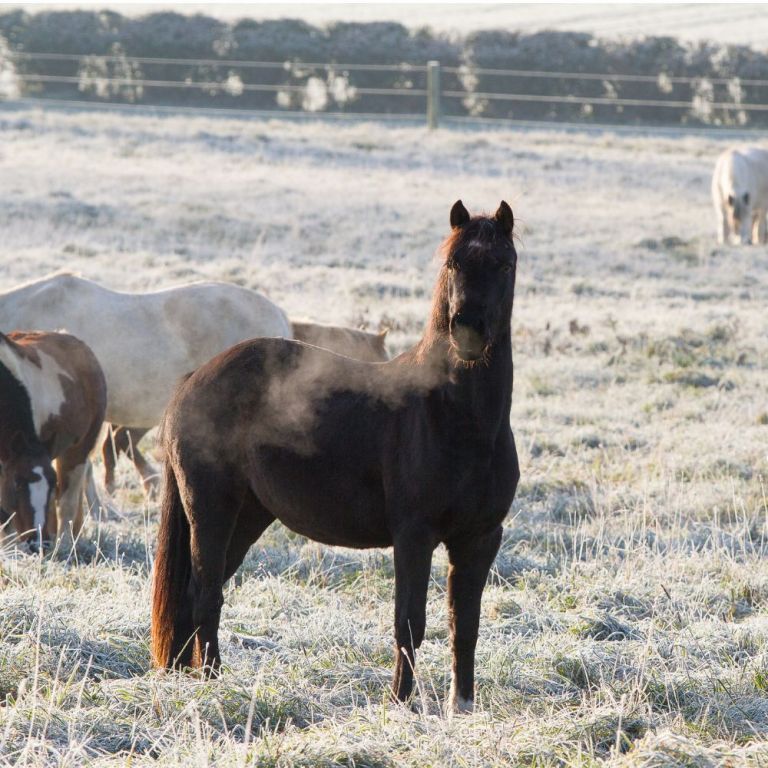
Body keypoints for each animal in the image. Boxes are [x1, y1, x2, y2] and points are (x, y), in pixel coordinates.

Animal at [0, 331, 107, 551]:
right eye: (17, 483)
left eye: (51, 485)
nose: (36, 542)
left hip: (78, 451)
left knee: (67, 504)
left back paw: (64, 545)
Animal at [151, 200, 520, 715]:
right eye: (453, 263)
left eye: (504, 264)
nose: (466, 330)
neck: (459, 419)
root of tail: (193, 380)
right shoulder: (414, 536)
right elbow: (409, 622)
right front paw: (399, 704)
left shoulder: (480, 538)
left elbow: (464, 627)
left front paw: (461, 707)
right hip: (211, 509)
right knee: (204, 595)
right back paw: (213, 685)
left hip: (249, 516)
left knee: (200, 597)